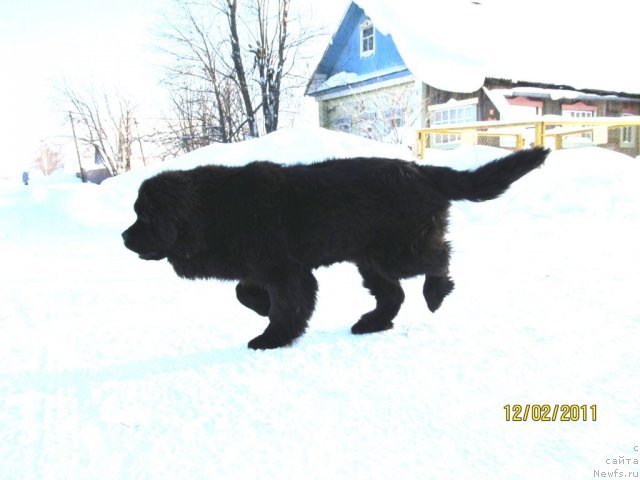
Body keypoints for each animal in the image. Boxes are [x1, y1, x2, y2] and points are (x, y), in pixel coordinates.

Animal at [122, 147, 548, 348]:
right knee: (392, 295)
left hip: (398, 249)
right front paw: (262, 310)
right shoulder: (262, 267)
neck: (215, 210)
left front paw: (273, 338)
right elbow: (245, 292)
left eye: (145, 217)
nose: (124, 237)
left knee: (438, 257)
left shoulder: (285, 270)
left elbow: (289, 305)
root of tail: (420, 170)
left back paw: (437, 292)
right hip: (370, 259)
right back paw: (373, 322)